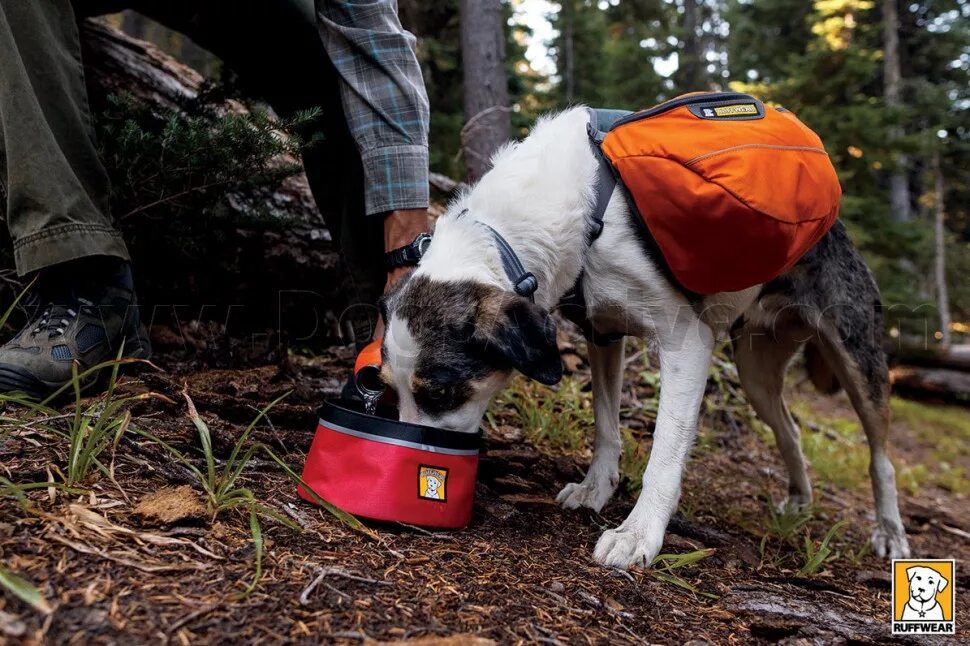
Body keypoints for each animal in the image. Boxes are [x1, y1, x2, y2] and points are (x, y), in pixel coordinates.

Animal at [380, 107, 908, 572]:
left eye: (441, 393)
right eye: (388, 388)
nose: (414, 471)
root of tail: (834, 223)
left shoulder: (687, 345)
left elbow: (664, 455)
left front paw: (638, 533)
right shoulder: (603, 334)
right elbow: (606, 424)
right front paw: (596, 489)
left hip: (857, 357)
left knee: (881, 456)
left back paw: (891, 533)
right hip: (756, 372)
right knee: (791, 429)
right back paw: (799, 499)